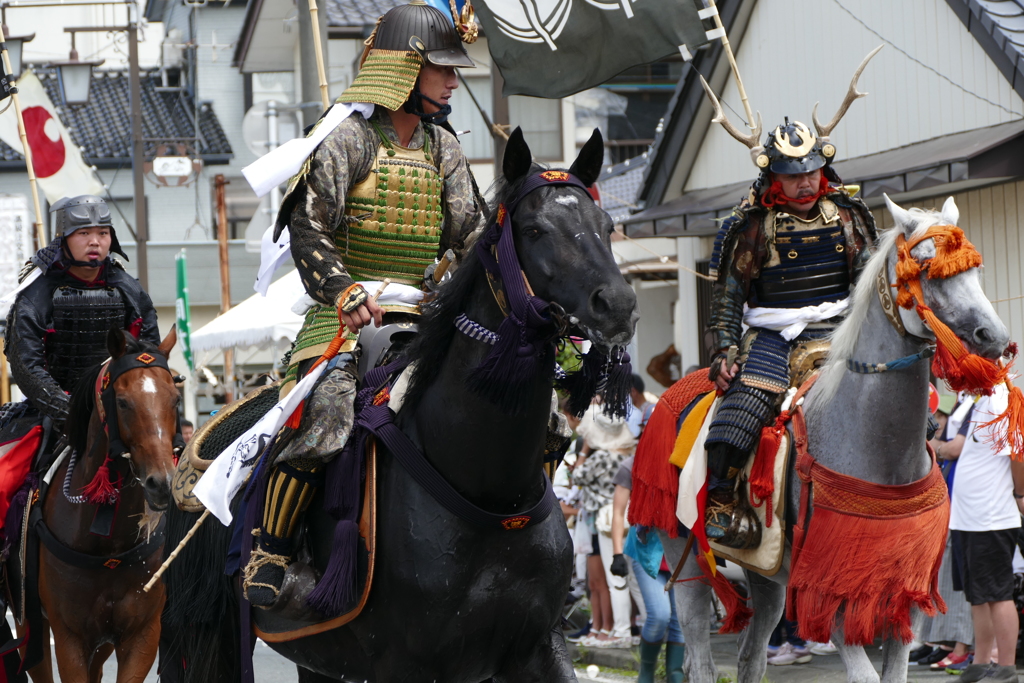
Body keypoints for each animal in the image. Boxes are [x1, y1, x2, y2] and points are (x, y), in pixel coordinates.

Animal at [22, 327, 178, 679]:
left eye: (175, 399)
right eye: (122, 402)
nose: (162, 483)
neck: (108, 543)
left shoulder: (141, 635)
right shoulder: (69, 638)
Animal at [158, 129, 634, 683]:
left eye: (607, 226)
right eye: (535, 229)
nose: (618, 305)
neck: (488, 488)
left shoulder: (538, 646)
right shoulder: (408, 662)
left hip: (317, 652)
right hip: (204, 630)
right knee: (315, 438)